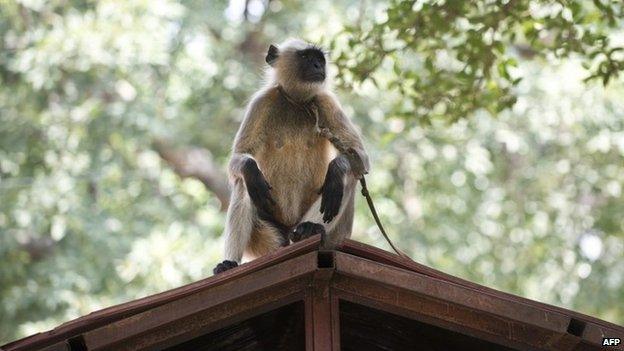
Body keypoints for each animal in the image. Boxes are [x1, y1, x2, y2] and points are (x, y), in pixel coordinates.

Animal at [216, 38, 370, 276]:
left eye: (319, 59)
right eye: (306, 57)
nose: (318, 66)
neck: (296, 101)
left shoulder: (325, 101)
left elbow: (360, 157)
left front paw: (336, 170)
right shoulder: (262, 102)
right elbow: (240, 159)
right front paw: (249, 168)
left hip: (336, 234)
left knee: (350, 176)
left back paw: (310, 228)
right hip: (269, 237)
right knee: (244, 182)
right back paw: (229, 263)